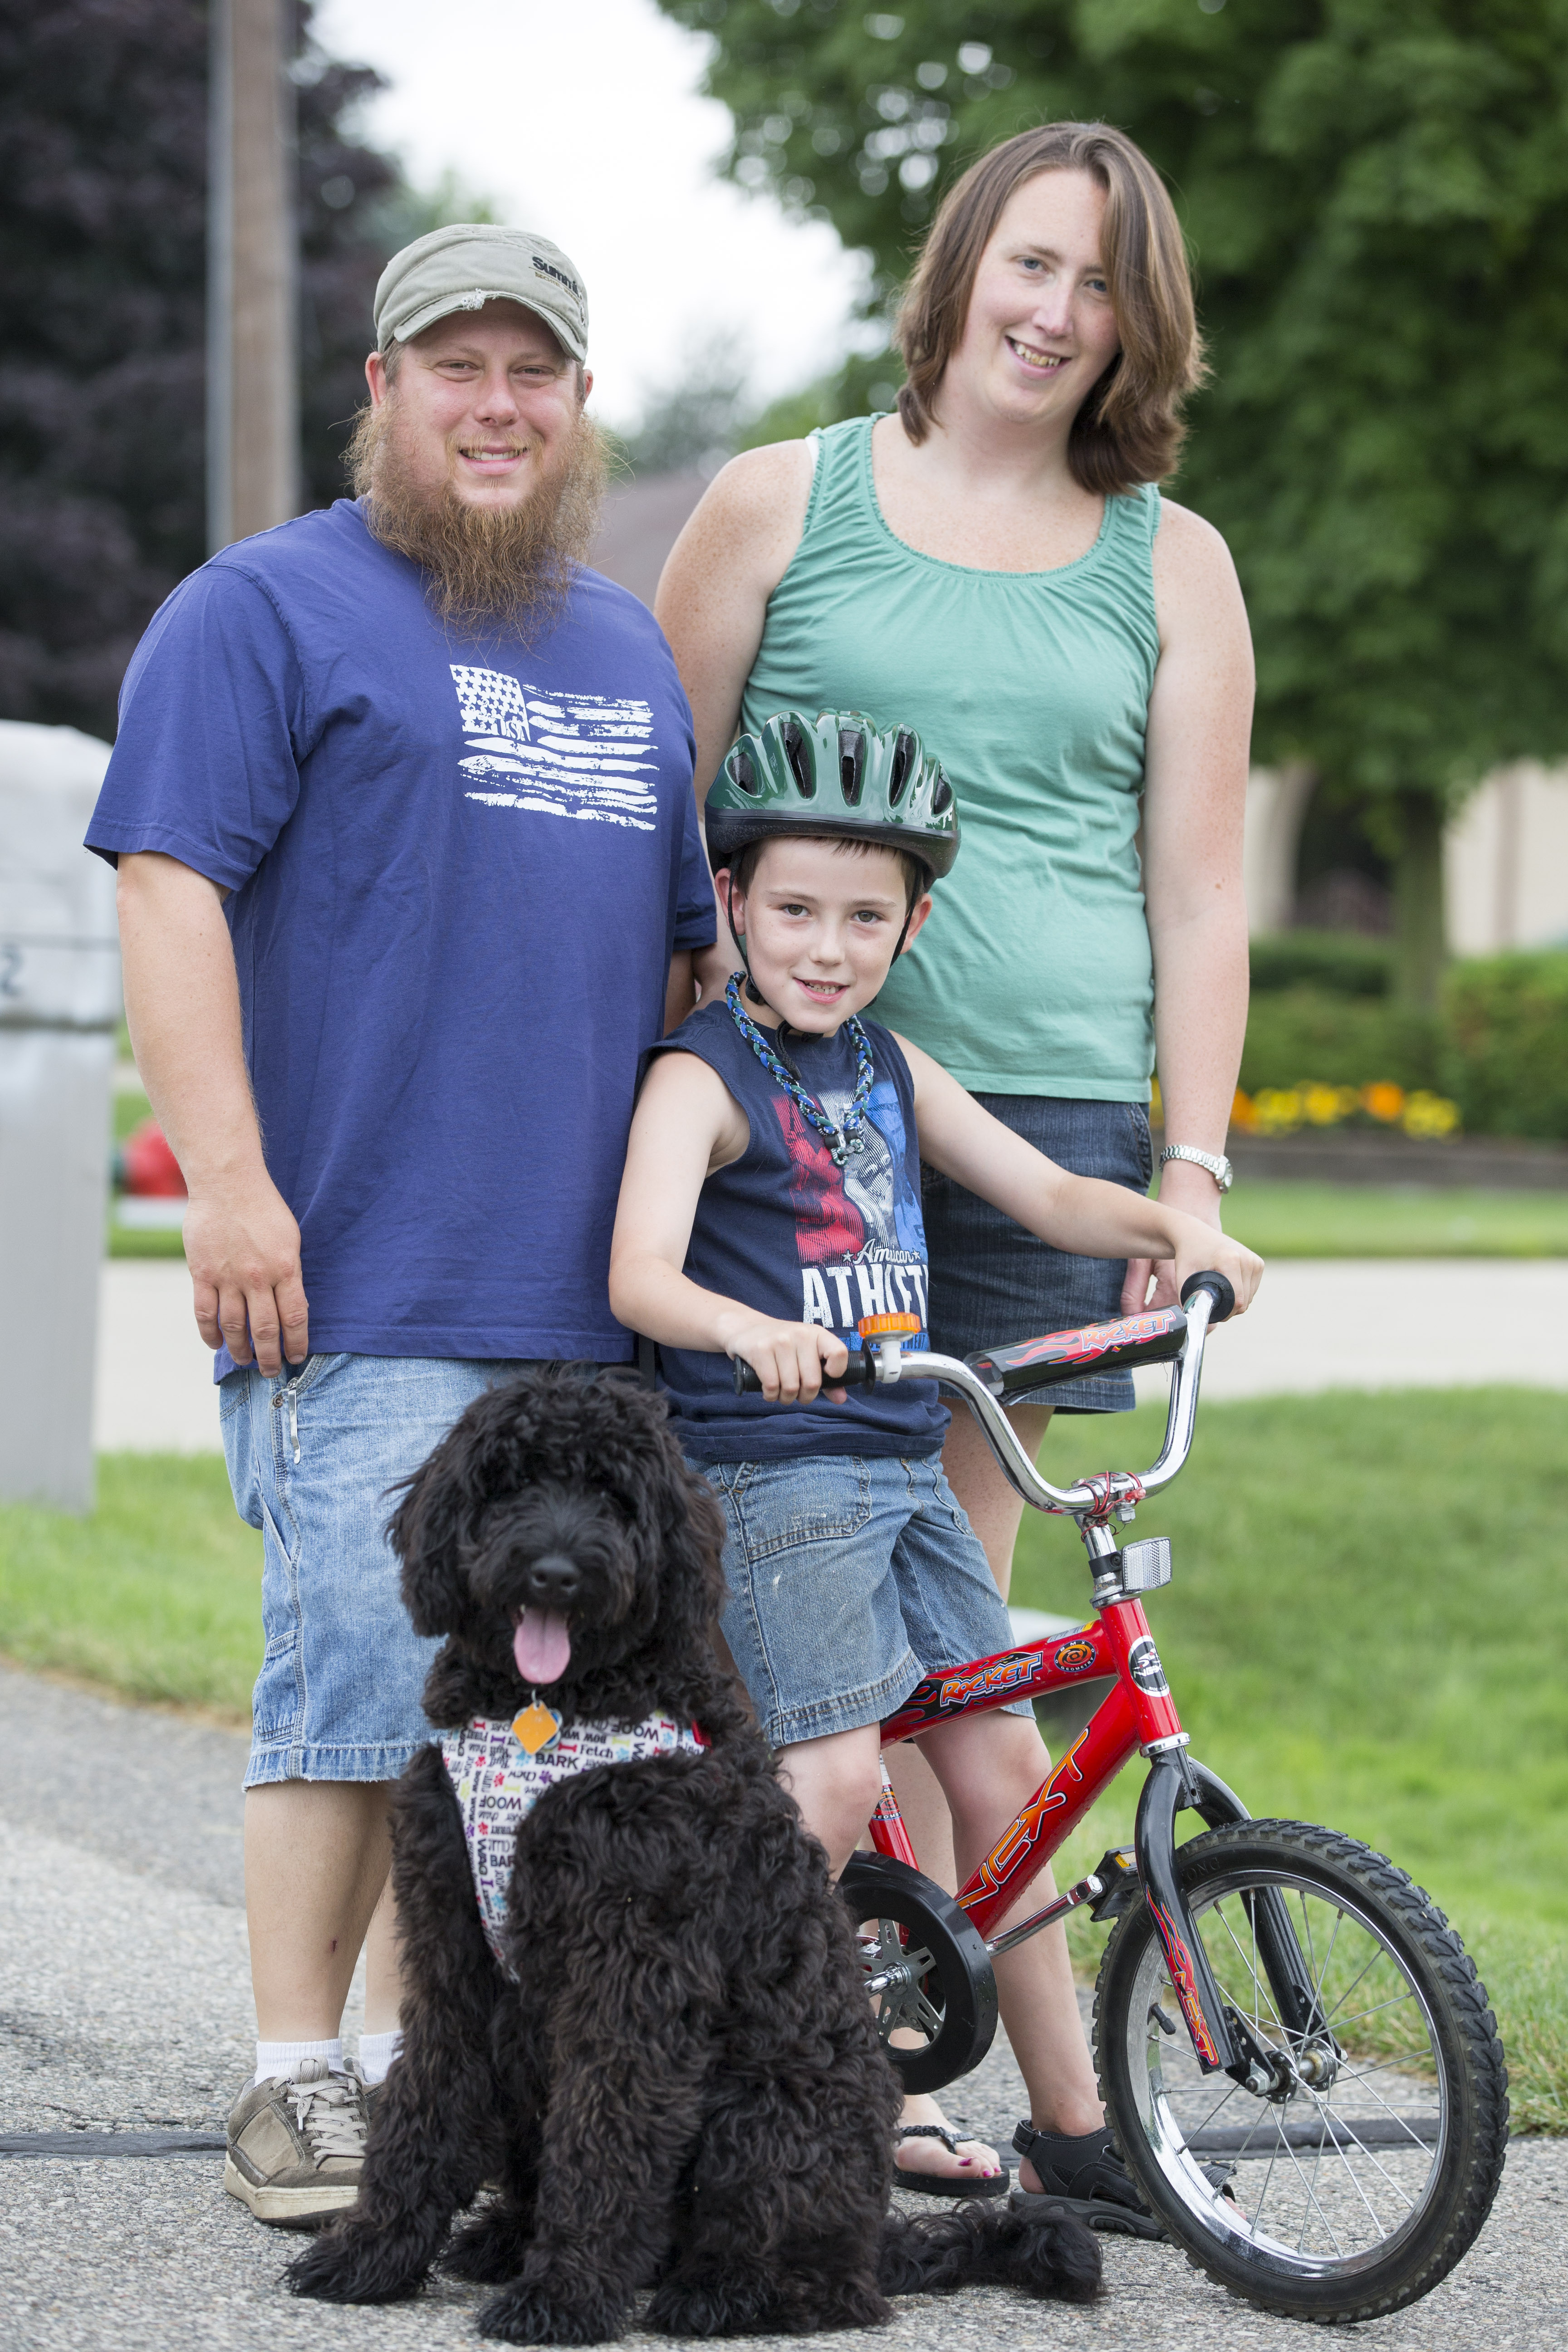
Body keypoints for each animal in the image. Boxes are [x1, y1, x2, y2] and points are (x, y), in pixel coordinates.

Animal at [291, 1373, 1105, 2342]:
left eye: (614, 1495)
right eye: (511, 1481)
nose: (555, 1571)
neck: (552, 1709)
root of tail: (875, 2234)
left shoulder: (633, 1974)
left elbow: (604, 2142)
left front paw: (564, 2294)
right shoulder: (455, 1951)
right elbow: (424, 2106)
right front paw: (372, 2252)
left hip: (762, 2113)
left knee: (812, 2278)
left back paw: (716, 2290)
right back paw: (505, 2238)